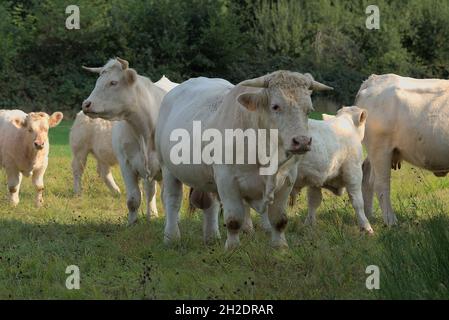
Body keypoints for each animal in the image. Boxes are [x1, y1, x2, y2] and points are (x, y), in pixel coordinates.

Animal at [81, 58, 167, 226]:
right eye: (98, 81)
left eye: (113, 82)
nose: (86, 104)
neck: (144, 129)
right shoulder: (126, 164)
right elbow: (133, 199)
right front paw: (131, 224)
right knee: (150, 191)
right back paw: (151, 214)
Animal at [155, 71, 332, 249]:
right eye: (275, 106)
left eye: (308, 110)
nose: (302, 141)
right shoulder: (226, 179)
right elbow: (234, 219)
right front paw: (232, 248)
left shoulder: (287, 179)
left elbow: (279, 219)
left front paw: (280, 247)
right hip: (168, 168)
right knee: (172, 200)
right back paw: (171, 237)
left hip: (207, 176)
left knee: (210, 205)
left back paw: (212, 237)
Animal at [260, 106, 372, 234]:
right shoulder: (354, 172)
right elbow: (358, 202)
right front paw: (366, 227)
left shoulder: (315, 179)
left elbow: (314, 201)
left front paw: (309, 224)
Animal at [356, 74, 449, 226]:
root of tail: (374, 79)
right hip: (380, 148)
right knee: (380, 184)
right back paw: (391, 221)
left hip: (375, 151)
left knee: (366, 175)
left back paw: (369, 216)